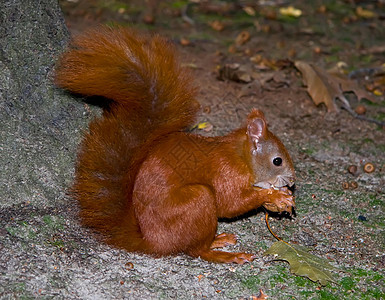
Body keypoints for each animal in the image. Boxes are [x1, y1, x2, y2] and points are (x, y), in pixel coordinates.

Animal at [55, 26, 294, 264]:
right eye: (277, 161)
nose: (292, 181)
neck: (241, 155)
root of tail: (153, 241)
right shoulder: (227, 172)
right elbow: (231, 204)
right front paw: (274, 196)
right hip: (198, 201)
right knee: (197, 250)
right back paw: (226, 255)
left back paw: (219, 240)